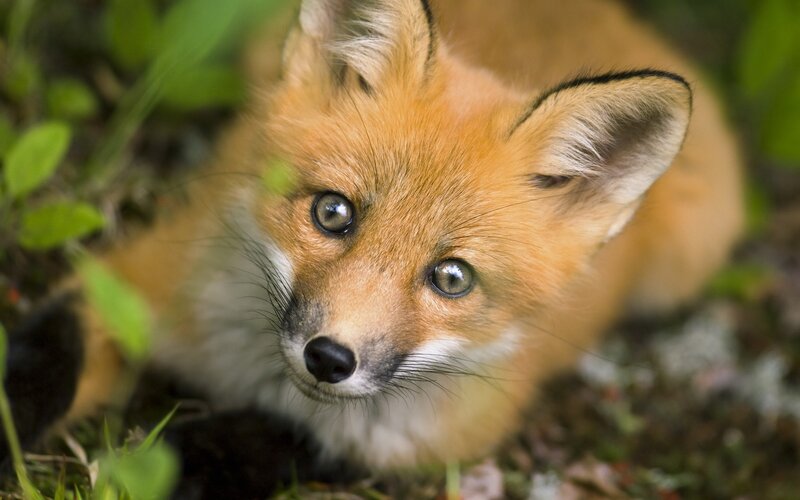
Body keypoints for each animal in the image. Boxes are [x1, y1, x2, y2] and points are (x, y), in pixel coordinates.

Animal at [4, 0, 743, 495]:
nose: (329, 358)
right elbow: (46, 358)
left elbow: (303, 435)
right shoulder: (133, 282)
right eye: (333, 213)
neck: (253, 373)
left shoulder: (433, 436)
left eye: (452, 277)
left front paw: (182, 459)